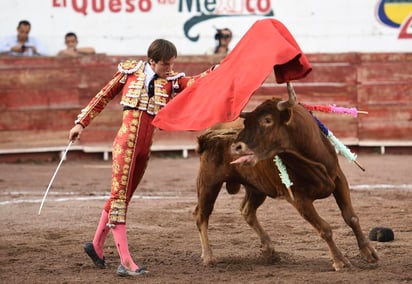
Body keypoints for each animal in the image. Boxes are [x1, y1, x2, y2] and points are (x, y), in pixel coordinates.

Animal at [194, 82, 380, 270]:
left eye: (267, 120)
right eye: (246, 122)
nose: (236, 147)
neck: (308, 156)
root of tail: (211, 131)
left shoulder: (338, 179)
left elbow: (351, 217)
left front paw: (369, 253)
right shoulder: (298, 199)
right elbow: (324, 228)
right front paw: (340, 261)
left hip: (257, 187)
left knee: (247, 210)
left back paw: (269, 249)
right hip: (209, 183)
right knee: (201, 214)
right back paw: (208, 256)